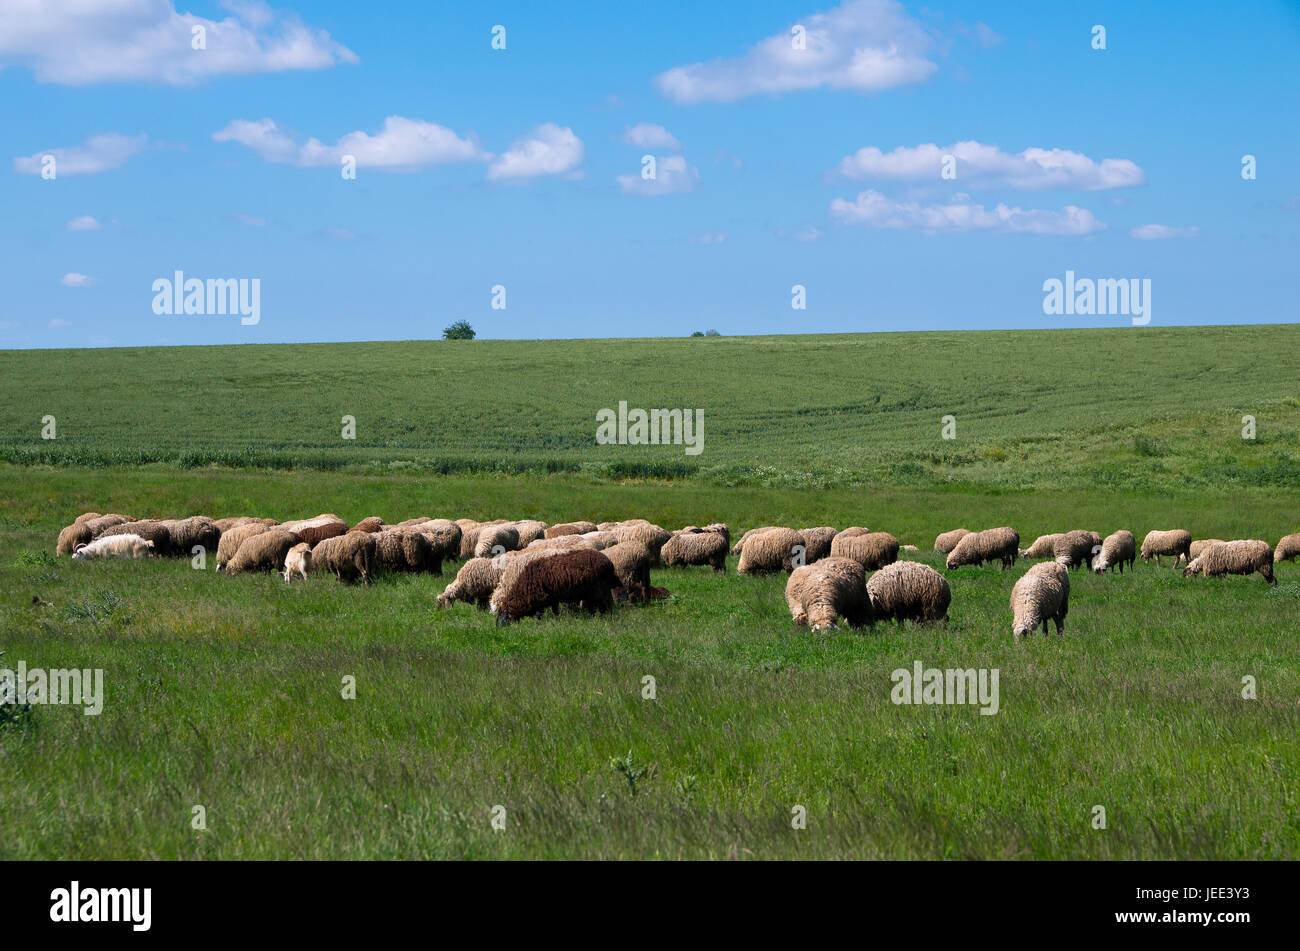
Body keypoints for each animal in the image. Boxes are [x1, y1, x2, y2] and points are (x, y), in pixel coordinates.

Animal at [493, 550, 621, 623]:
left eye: (501, 617)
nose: (498, 630)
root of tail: (609, 562)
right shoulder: (552, 598)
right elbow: (555, 612)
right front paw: (557, 622)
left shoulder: (541, 598)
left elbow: (539, 615)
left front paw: (538, 624)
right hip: (595, 592)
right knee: (600, 606)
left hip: (599, 590)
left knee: (604, 606)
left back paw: (604, 618)